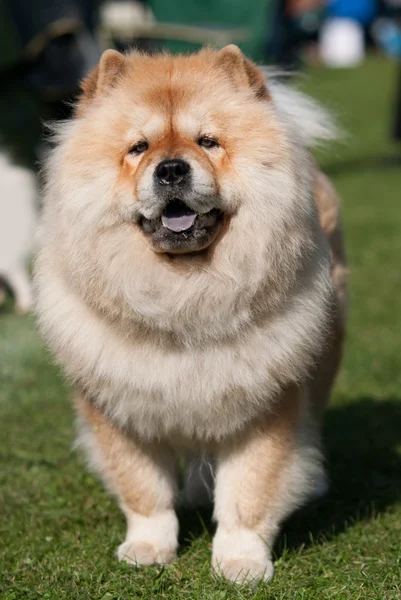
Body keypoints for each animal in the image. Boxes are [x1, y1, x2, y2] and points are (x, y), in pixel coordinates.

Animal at [34, 47, 346, 584]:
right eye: (138, 147)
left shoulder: (266, 407)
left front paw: (241, 562)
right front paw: (147, 549)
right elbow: (145, 492)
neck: (183, 298)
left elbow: (248, 493)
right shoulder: (118, 410)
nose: (172, 170)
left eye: (208, 142)